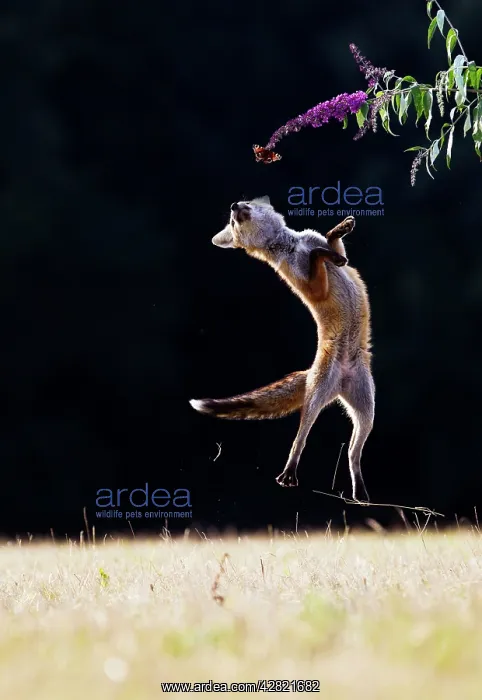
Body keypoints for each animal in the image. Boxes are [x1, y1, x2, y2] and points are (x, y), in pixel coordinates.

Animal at [190, 196, 374, 502]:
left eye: (247, 202)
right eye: (231, 222)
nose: (234, 205)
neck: (292, 245)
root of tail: (336, 382)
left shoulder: (330, 253)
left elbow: (332, 245)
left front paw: (339, 230)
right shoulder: (312, 288)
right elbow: (319, 257)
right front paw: (328, 253)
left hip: (366, 411)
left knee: (352, 453)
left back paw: (360, 492)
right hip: (316, 400)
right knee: (300, 439)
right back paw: (289, 473)